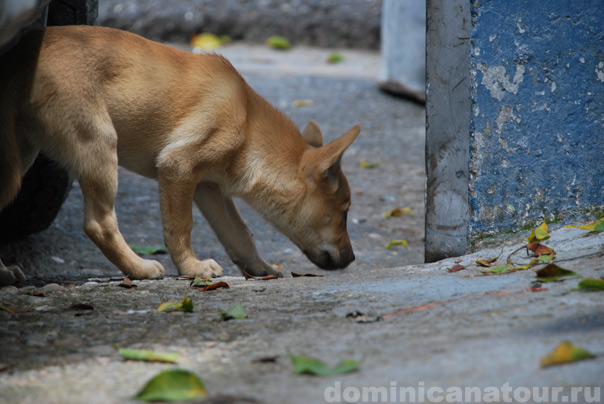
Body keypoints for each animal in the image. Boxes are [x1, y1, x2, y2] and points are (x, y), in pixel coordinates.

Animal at [0, 26, 358, 282]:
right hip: (98, 144)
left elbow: (240, 235)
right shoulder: (178, 167)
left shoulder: (209, 188)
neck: (247, 122)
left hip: (22, 156)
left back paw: (4, 274)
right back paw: (139, 269)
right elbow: (181, 227)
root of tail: (19, 59)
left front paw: (260, 267)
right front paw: (192, 269)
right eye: (343, 213)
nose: (354, 258)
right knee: (99, 224)